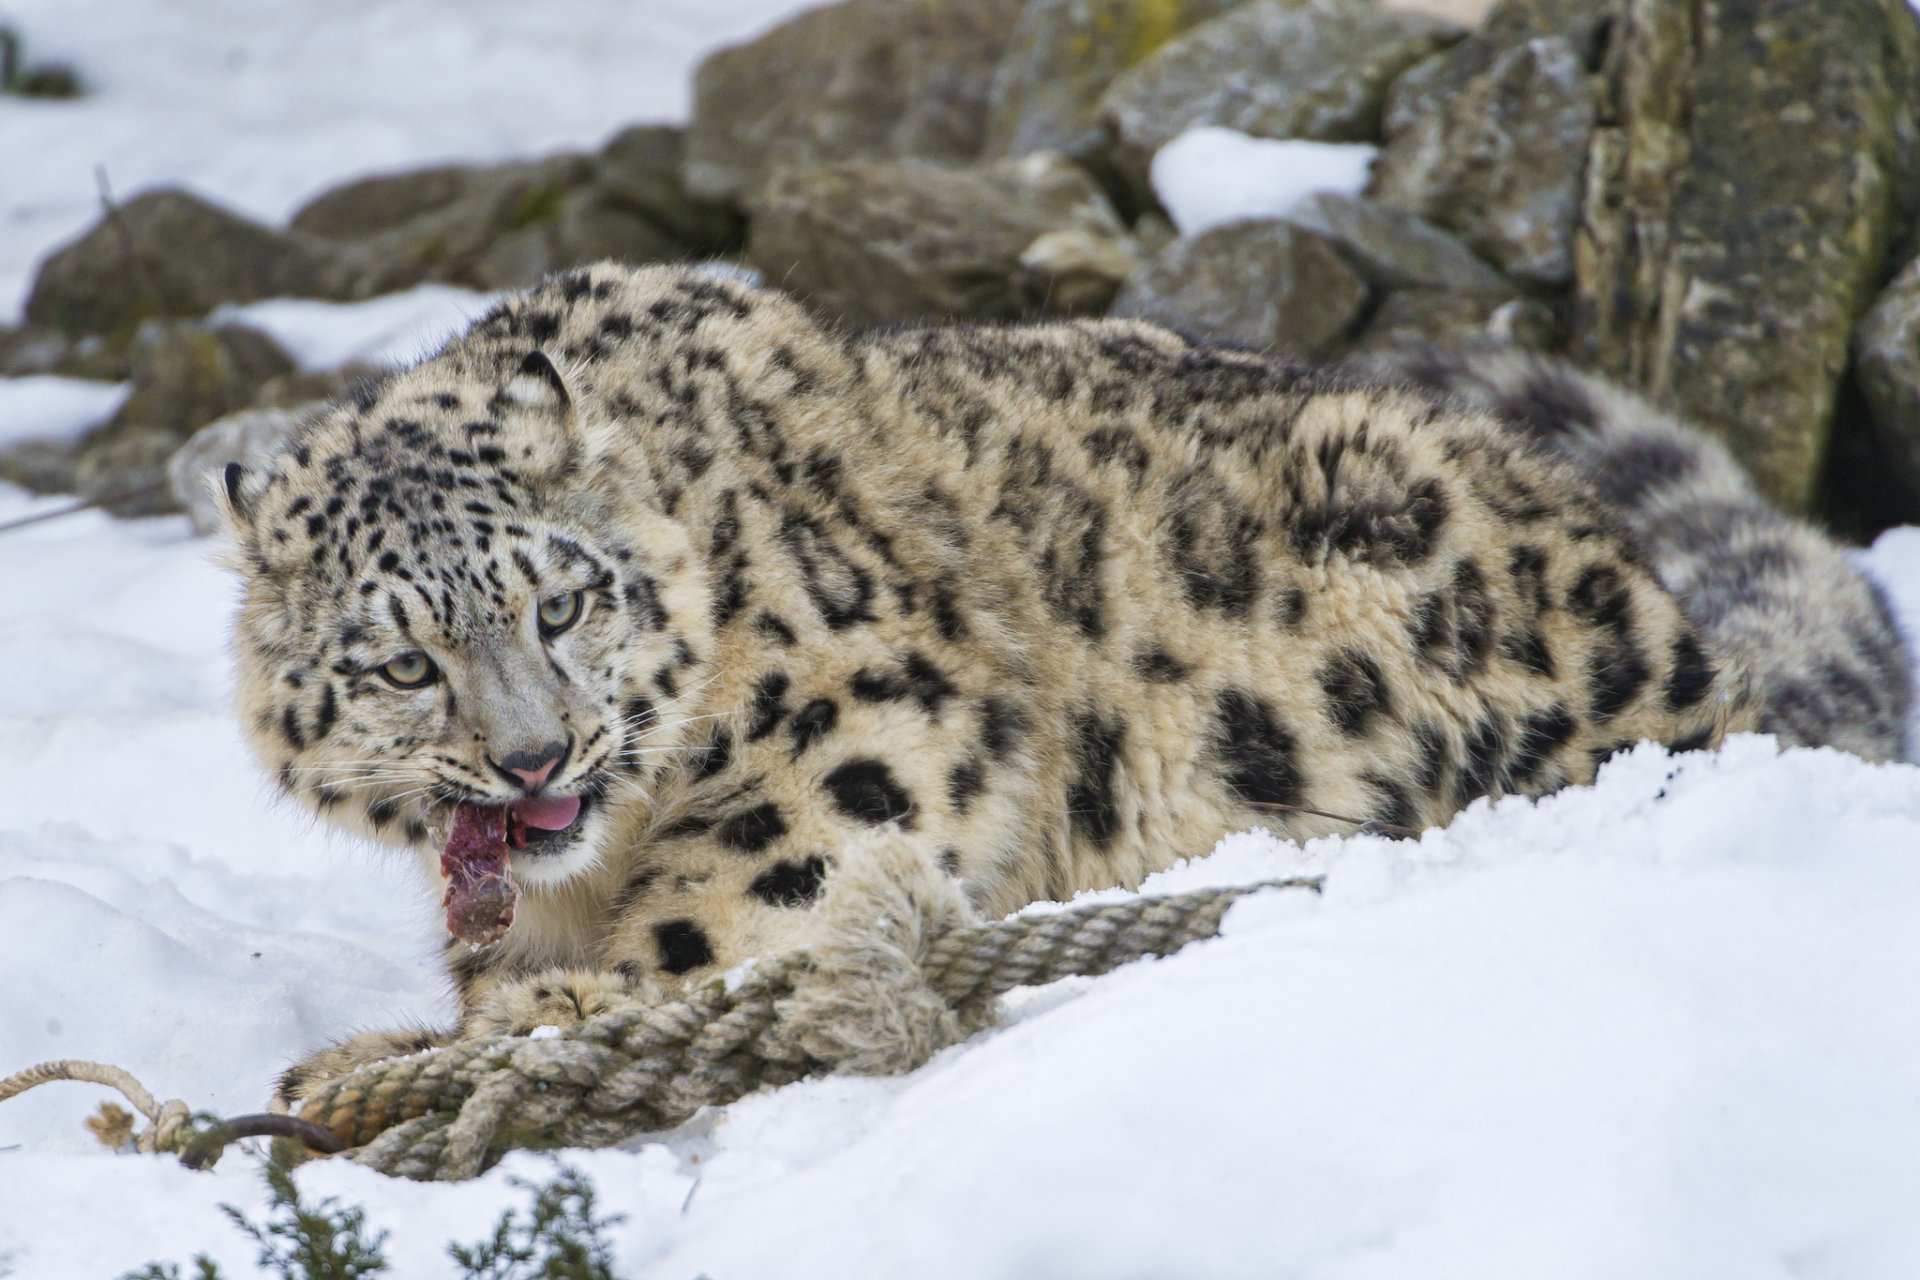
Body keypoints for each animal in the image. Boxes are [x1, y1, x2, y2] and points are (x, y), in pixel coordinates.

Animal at [217, 262, 1905, 1108]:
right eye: (403, 662)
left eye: (559, 602)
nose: (534, 760)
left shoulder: (865, 715)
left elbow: (735, 891)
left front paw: (540, 1016)